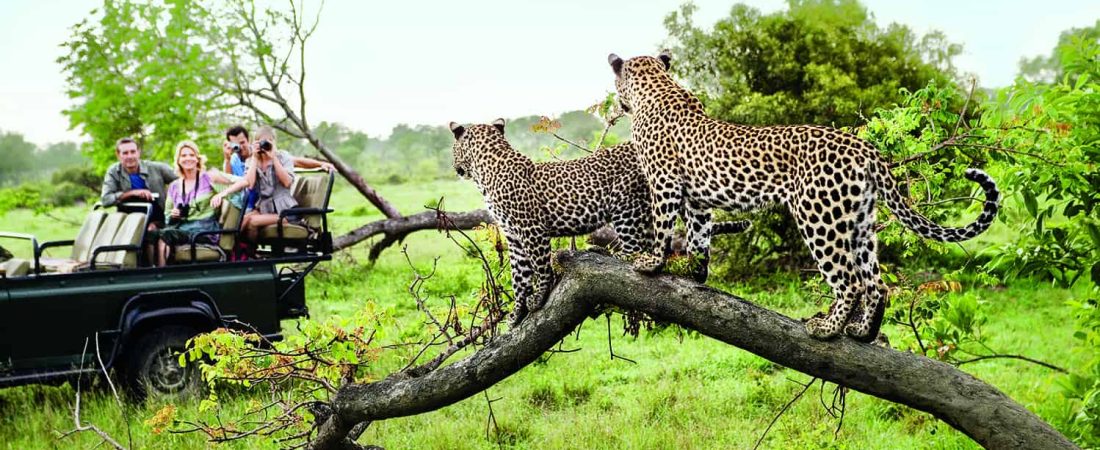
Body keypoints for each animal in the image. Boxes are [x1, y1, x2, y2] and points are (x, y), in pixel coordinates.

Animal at [446, 119, 748, 323]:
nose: (455, 168)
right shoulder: (514, 236)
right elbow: (518, 275)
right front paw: (516, 313)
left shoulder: (532, 231)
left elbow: (541, 268)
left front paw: (539, 297)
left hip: (627, 205)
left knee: (635, 250)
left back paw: (606, 253)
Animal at [607, 51, 1003, 341]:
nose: (616, 104)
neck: (657, 86)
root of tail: (865, 148)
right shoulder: (698, 199)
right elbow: (699, 237)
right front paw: (695, 273)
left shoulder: (664, 182)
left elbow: (663, 227)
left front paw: (651, 263)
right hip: (859, 221)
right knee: (876, 283)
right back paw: (862, 332)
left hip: (819, 217)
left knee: (850, 281)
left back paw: (827, 329)